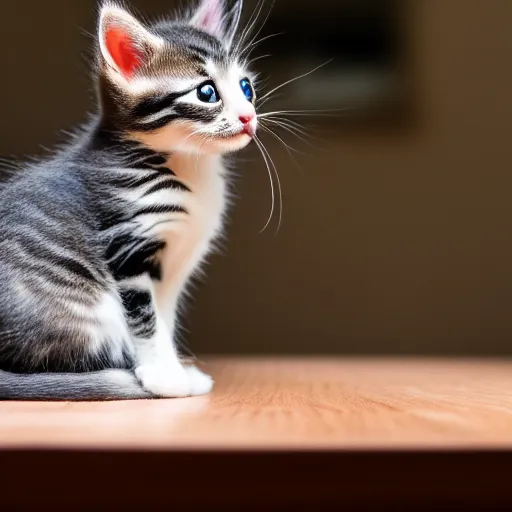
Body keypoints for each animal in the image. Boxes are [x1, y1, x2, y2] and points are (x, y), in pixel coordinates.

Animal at [0, 0, 258, 400]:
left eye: (246, 87)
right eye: (206, 93)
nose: (249, 117)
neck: (189, 168)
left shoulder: (174, 270)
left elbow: (164, 317)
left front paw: (175, 369)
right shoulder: (127, 245)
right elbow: (146, 320)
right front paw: (165, 377)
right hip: (89, 308)